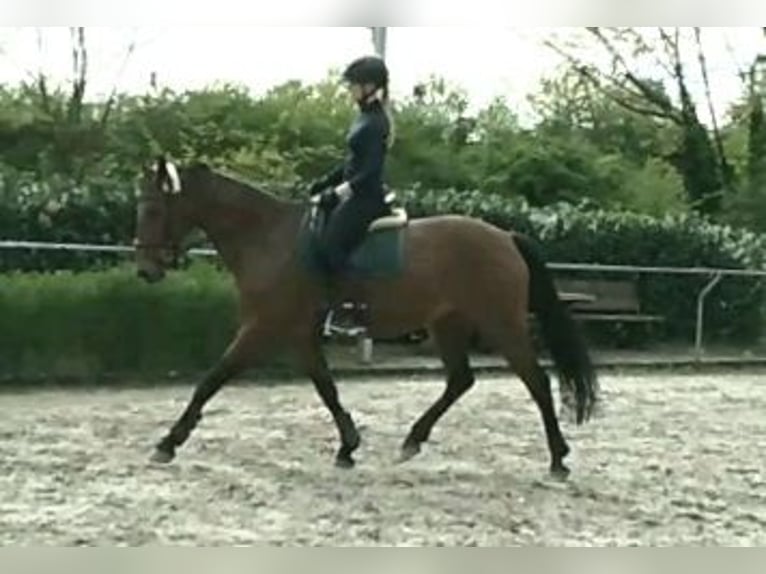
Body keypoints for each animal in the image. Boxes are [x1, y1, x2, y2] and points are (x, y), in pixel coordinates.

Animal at [135, 156, 600, 476]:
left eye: (154, 209)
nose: (146, 271)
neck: (268, 239)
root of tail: (505, 236)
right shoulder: (298, 334)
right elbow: (326, 388)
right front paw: (348, 447)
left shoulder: (262, 328)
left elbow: (211, 380)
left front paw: (168, 442)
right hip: (447, 324)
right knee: (460, 381)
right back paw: (412, 441)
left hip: (502, 324)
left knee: (537, 382)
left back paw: (558, 458)